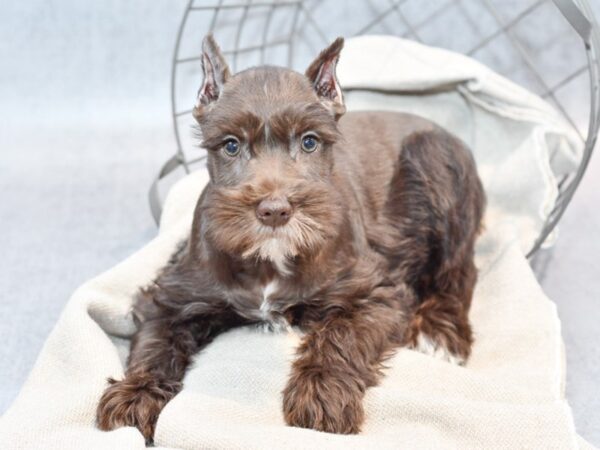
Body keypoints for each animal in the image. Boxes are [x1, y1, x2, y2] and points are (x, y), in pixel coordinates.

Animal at [96, 35, 486, 442]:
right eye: (231, 145)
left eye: (309, 142)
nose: (275, 210)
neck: (270, 261)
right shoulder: (174, 295)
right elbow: (156, 341)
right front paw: (135, 394)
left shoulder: (375, 292)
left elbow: (340, 335)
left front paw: (322, 393)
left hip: (434, 166)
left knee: (460, 269)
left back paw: (439, 332)